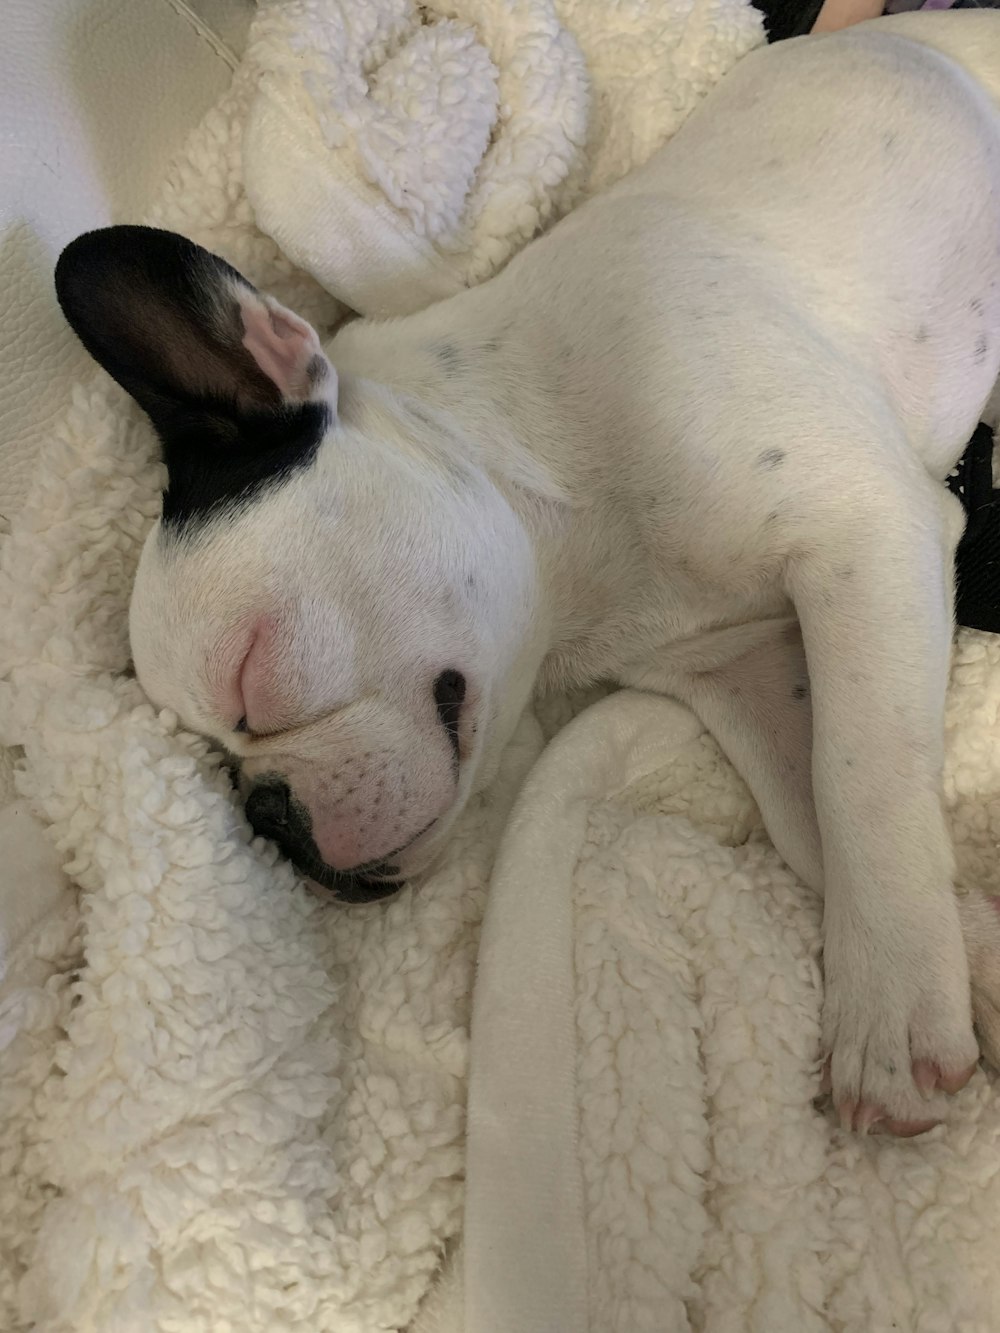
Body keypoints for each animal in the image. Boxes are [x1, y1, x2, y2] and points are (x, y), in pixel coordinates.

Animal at [53, 12, 1000, 1135]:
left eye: (254, 676)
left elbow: (861, 775)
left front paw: (887, 1012)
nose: (268, 813)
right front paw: (969, 948)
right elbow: (813, 804)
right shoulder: (748, 669)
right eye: (219, 766)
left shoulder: (861, 524)